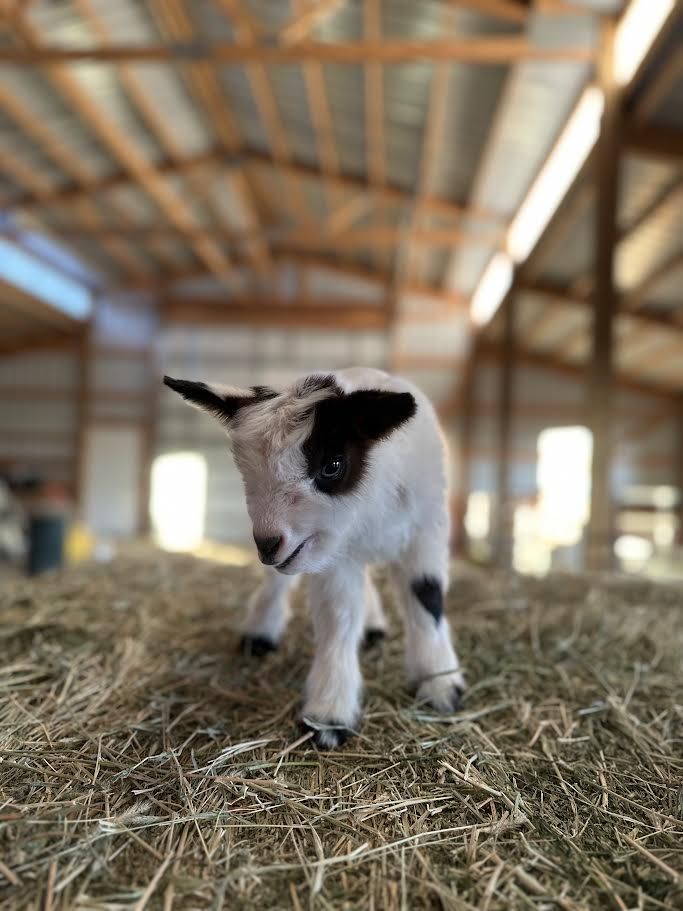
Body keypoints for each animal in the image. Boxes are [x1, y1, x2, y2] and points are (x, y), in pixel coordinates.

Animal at [164, 367, 464, 748]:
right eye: (245, 471)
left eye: (332, 466)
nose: (267, 544)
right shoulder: (332, 557)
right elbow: (339, 620)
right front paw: (329, 716)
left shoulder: (425, 532)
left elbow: (427, 597)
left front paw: (441, 684)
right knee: (277, 584)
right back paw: (260, 633)